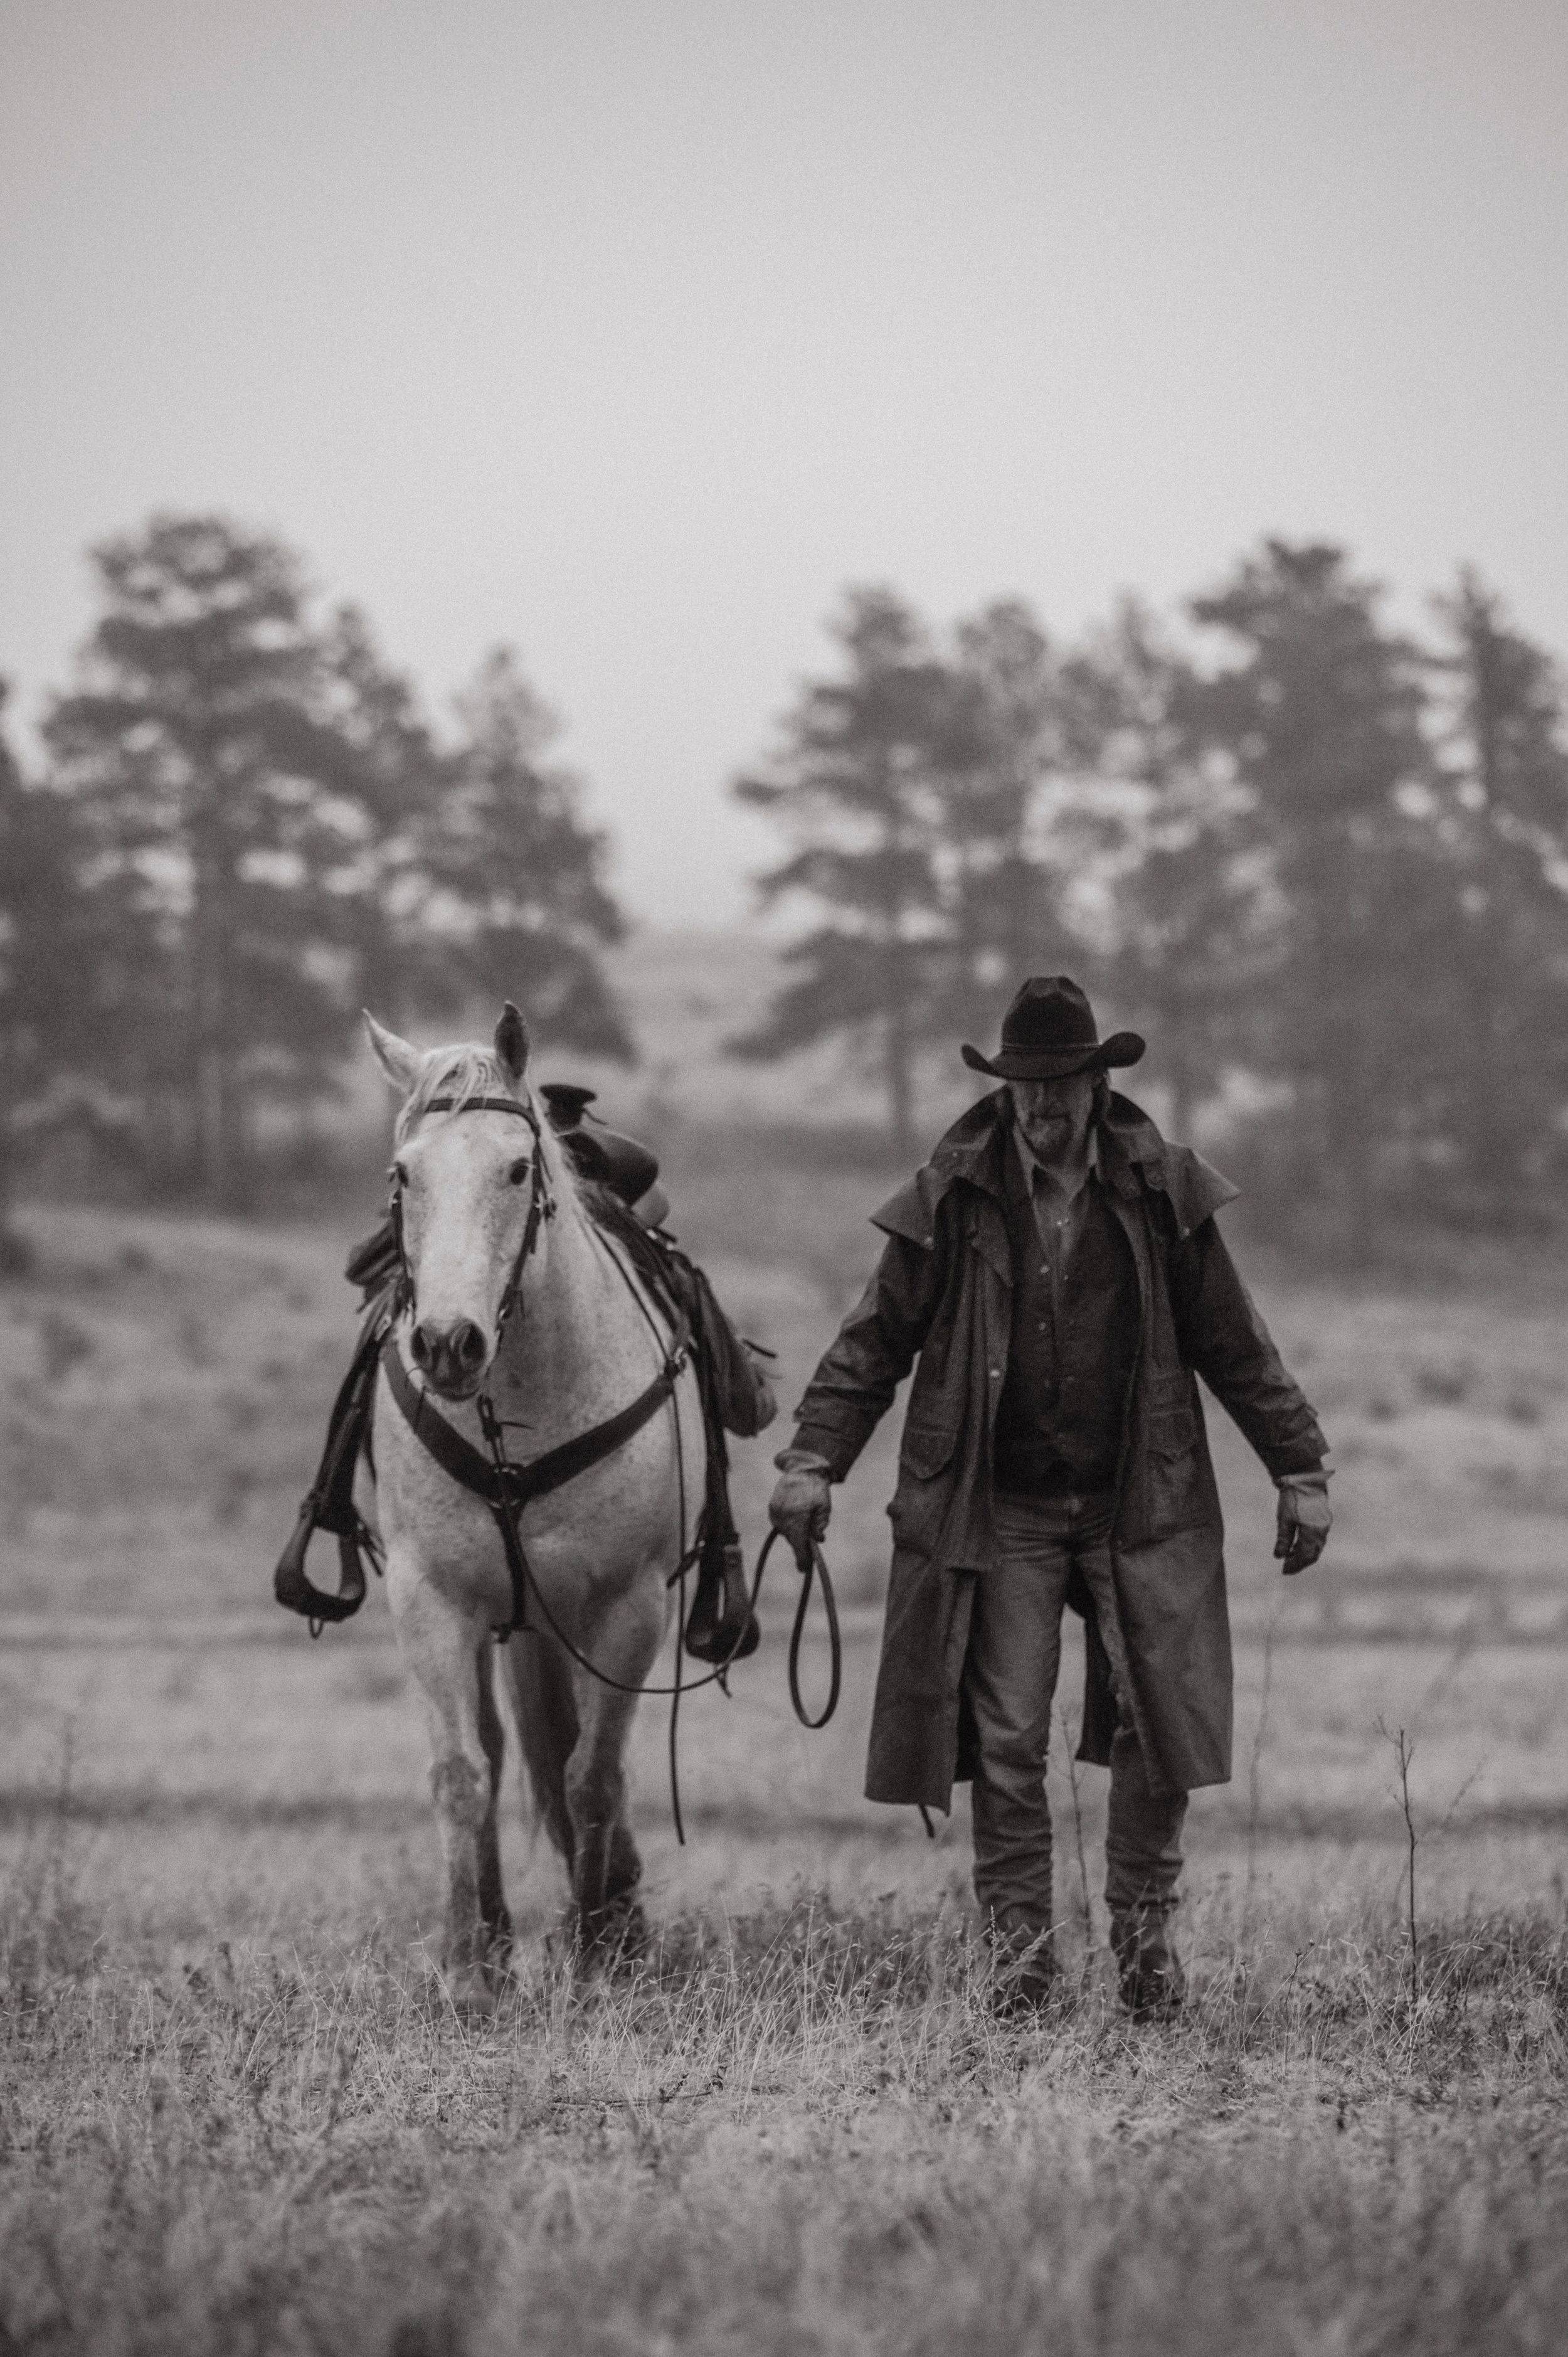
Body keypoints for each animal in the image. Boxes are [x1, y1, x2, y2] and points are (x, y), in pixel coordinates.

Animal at [361, 1001, 705, 2011]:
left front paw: (590, 1958)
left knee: (573, 1759)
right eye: (403, 1175)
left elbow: (591, 1777)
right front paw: (465, 1969)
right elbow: (461, 1773)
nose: (447, 1344)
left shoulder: (627, 1606)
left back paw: (612, 1921)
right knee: (505, 1747)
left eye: (517, 1169)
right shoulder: (431, 1600)